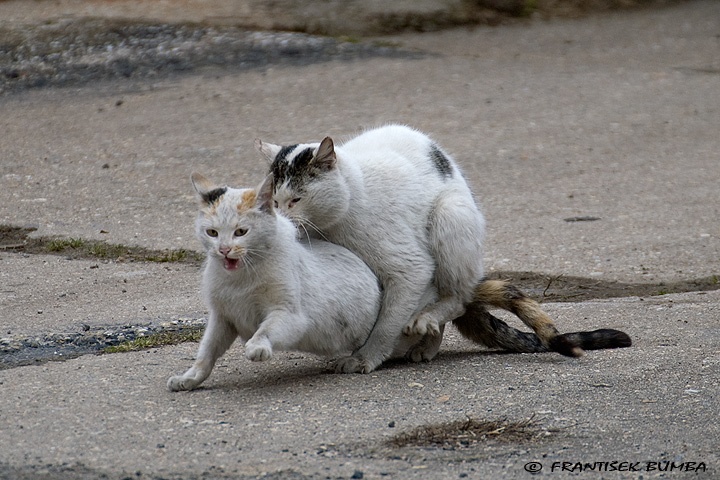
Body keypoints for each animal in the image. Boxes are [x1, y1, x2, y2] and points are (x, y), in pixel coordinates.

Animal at [167, 174, 434, 392]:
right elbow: (206, 352)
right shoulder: (222, 318)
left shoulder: (291, 316)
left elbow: (264, 330)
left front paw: (257, 347)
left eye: (240, 232)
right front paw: (190, 378)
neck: (241, 277)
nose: (223, 250)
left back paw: (423, 342)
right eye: (212, 233)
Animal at [258, 123, 632, 372]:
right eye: (274, 201)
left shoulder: (410, 267)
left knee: (457, 296)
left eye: (296, 199)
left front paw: (365, 357)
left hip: (450, 216)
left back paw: (427, 322)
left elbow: (387, 322)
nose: (283, 218)